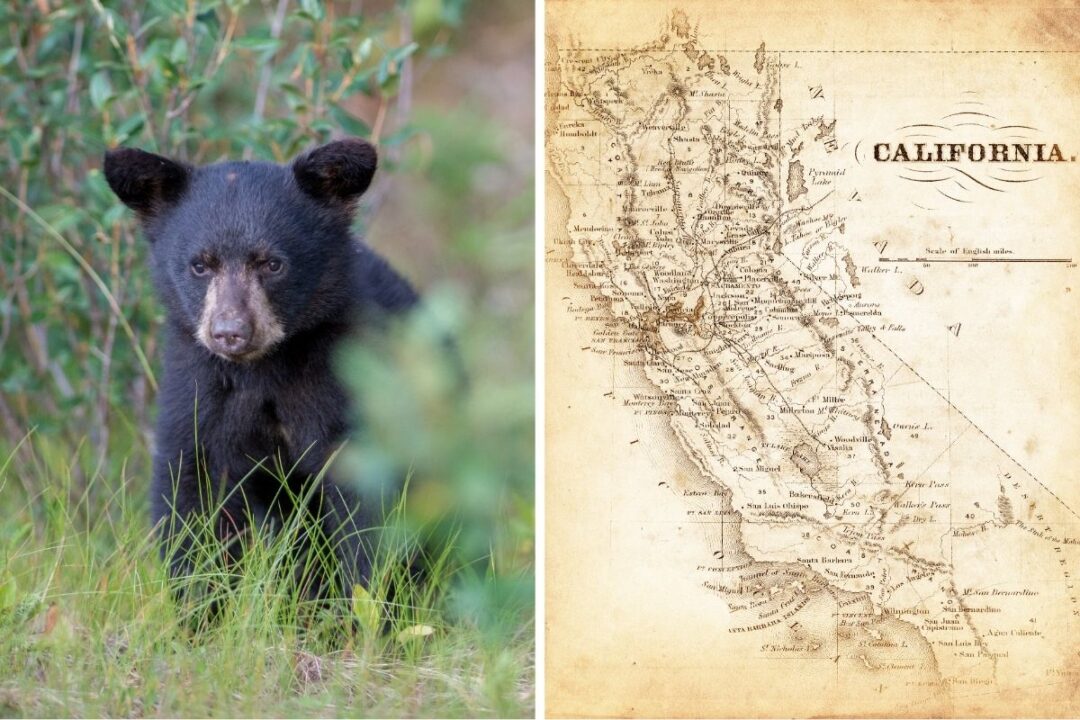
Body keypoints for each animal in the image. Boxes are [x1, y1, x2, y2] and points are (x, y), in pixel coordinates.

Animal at [103, 138, 418, 611]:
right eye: (200, 265)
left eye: (271, 264)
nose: (230, 332)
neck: (261, 370)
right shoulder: (196, 394)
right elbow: (189, 501)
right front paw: (198, 612)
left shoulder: (343, 394)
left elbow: (366, 517)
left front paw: (363, 613)